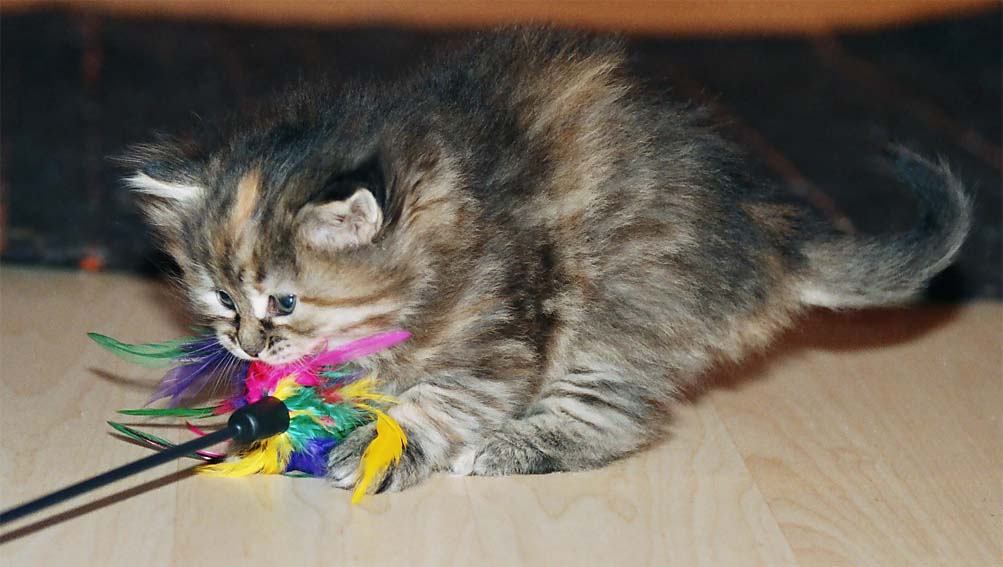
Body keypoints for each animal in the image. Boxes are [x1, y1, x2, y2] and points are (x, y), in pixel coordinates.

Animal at [121, 27, 966, 491]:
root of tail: (766, 228)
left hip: (614, 316)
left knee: (617, 416)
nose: (246, 345)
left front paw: (379, 441)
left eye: (286, 301)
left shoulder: (505, 327)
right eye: (223, 298)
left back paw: (506, 447)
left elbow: (440, 399)